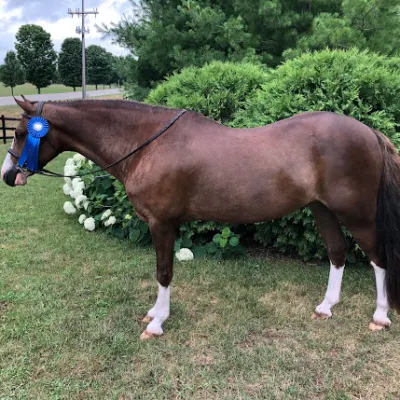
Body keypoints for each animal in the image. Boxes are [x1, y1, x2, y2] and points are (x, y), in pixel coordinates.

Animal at [2, 97, 400, 338]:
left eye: (22, 132)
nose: (9, 176)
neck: (148, 144)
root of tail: (369, 132)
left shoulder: (162, 223)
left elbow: (163, 272)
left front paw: (157, 323)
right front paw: (154, 313)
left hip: (356, 213)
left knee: (379, 258)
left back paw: (380, 316)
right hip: (323, 209)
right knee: (337, 253)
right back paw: (326, 307)